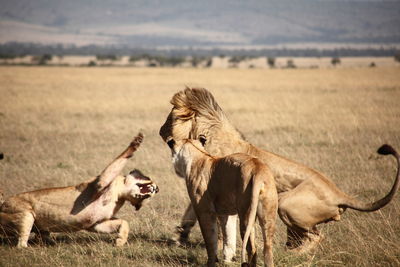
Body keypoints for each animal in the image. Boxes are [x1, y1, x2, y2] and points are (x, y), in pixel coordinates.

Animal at [0, 134, 159, 249]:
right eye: (149, 178)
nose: (157, 189)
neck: (119, 196)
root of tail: (2, 202)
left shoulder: (96, 223)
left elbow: (123, 223)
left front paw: (120, 242)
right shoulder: (100, 183)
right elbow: (120, 159)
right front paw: (136, 142)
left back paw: (51, 243)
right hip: (25, 214)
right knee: (21, 244)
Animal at [168, 138, 278, 267]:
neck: (197, 154)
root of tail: (257, 168)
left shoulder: (204, 211)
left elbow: (210, 240)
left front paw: (211, 262)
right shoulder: (227, 213)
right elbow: (228, 236)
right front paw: (228, 260)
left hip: (246, 213)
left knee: (252, 249)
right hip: (268, 215)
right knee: (268, 247)